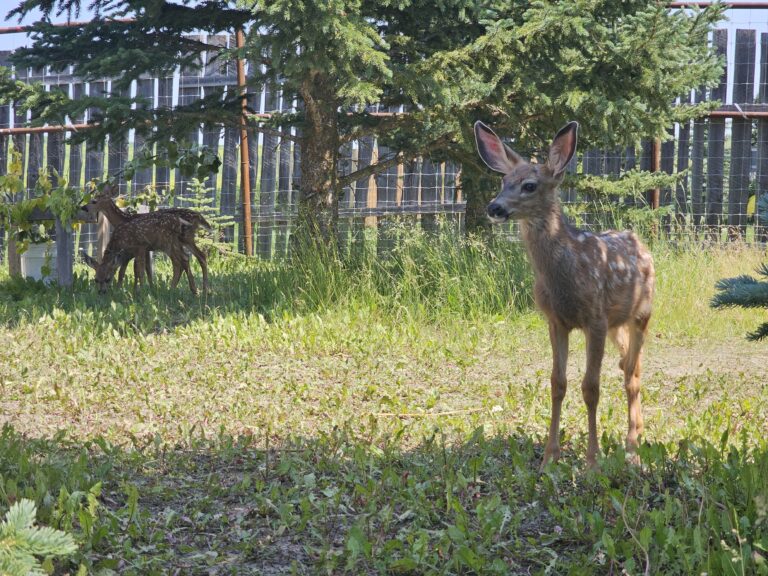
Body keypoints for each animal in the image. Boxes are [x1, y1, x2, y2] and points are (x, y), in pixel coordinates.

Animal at [82, 191, 210, 292]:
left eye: (94, 201)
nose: (84, 207)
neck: (124, 219)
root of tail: (198, 216)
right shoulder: (144, 249)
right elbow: (144, 269)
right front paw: (149, 288)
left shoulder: (139, 248)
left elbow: (136, 269)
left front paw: (138, 289)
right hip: (184, 241)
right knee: (199, 256)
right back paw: (202, 289)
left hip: (180, 239)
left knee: (185, 259)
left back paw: (190, 289)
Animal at [474, 121, 655, 469]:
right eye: (503, 180)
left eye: (530, 185)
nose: (494, 207)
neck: (563, 276)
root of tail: (639, 242)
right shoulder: (555, 320)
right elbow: (557, 383)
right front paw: (549, 458)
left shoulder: (595, 318)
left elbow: (591, 388)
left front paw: (592, 462)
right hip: (617, 324)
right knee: (628, 365)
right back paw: (636, 433)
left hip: (642, 314)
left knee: (633, 375)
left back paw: (632, 448)